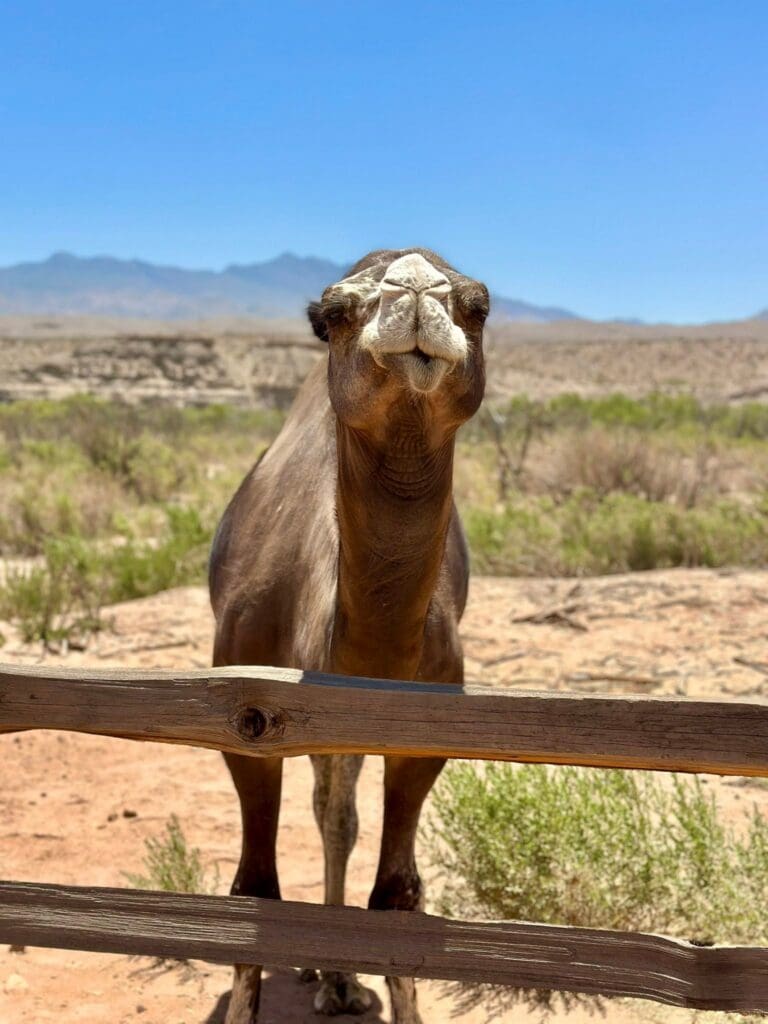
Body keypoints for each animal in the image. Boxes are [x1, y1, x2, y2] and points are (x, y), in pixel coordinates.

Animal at [209, 247, 489, 1024]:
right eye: (329, 314)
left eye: (480, 304)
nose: (415, 286)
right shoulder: (246, 718)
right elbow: (253, 892)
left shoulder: (424, 733)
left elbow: (396, 895)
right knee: (327, 806)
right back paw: (322, 969)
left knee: (339, 814)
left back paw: (338, 976)